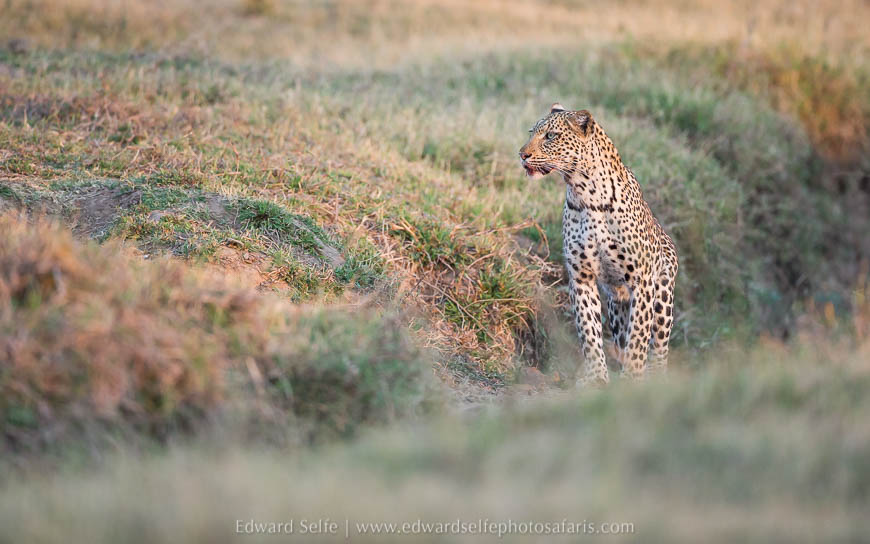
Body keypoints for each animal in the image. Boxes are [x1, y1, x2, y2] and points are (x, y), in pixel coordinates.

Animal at [519, 104, 678, 386]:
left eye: (550, 136)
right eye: (531, 133)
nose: (522, 155)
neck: (585, 193)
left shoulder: (642, 281)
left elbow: (639, 337)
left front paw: (632, 377)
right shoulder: (581, 276)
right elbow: (589, 331)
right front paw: (596, 377)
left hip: (662, 298)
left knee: (659, 346)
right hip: (616, 305)